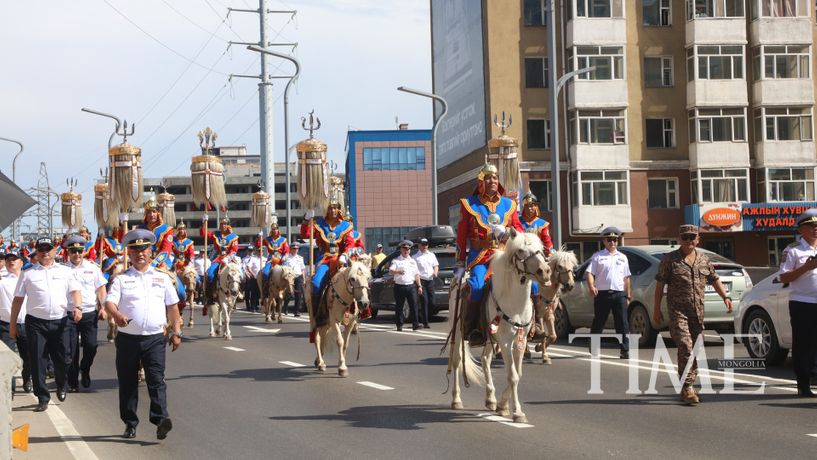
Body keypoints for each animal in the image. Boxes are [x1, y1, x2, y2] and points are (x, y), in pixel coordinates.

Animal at [446, 230, 548, 424]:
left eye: (540, 248)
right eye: (521, 250)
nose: (545, 271)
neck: (514, 302)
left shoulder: (520, 340)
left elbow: (517, 373)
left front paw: (502, 405)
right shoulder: (506, 341)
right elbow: (513, 376)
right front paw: (517, 413)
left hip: (488, 337)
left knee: (485, 359)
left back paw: (490, 398)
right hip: (458, 333)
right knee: (457, 362)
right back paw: (456, 400)